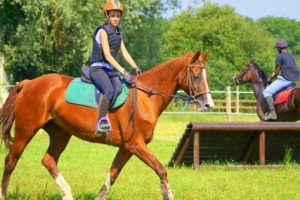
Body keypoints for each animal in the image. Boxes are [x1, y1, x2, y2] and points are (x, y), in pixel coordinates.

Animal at [0, 50, 213, 200]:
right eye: (196, 76)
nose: (208, 105)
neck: (145, 97)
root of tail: (28, 83)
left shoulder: (127, 148)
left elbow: (113, 174)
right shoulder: (135, 145)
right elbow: (160, 169)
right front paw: (168, 194)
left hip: (60, 133)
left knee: (48, 160)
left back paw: (67, 194)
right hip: (26, 130)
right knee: (11, 161)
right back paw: (3, 194)